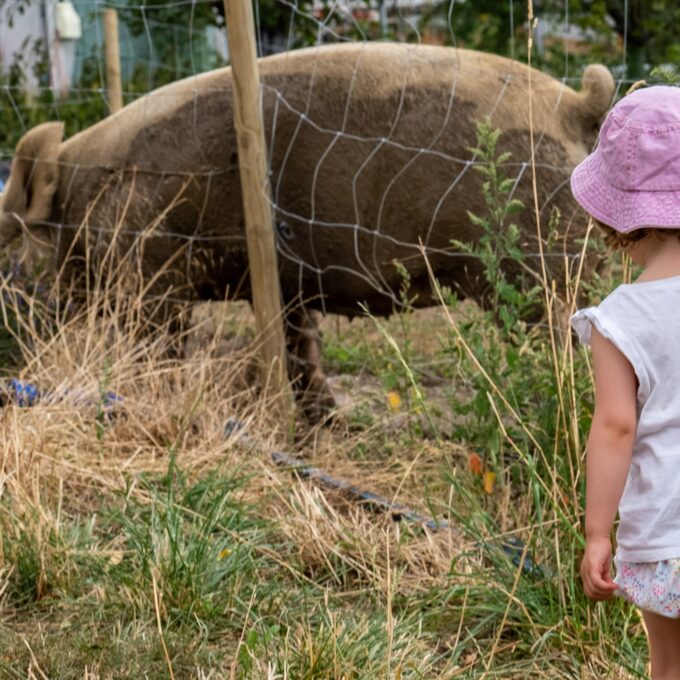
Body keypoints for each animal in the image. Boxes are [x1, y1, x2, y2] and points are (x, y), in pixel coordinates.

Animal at [0, 45, 612, 418]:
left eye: (5, 254)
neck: (78, 210)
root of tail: (579, 105)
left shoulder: (149, 276)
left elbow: (160, 348)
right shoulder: (285, 285)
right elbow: (301, 349)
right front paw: (325, 424)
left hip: (541, 267)